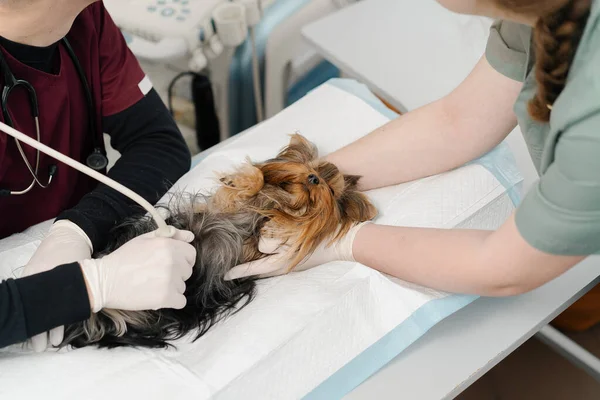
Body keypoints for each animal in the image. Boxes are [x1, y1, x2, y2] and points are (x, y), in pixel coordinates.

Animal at [59, 133, 376, 348]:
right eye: (310, 168)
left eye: (330, 191)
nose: (313, 179)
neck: (282, 202)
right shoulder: (228, 203)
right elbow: (252, 184)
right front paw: (245, 179)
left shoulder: (256, 249)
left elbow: (281, 232)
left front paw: (282, 226)